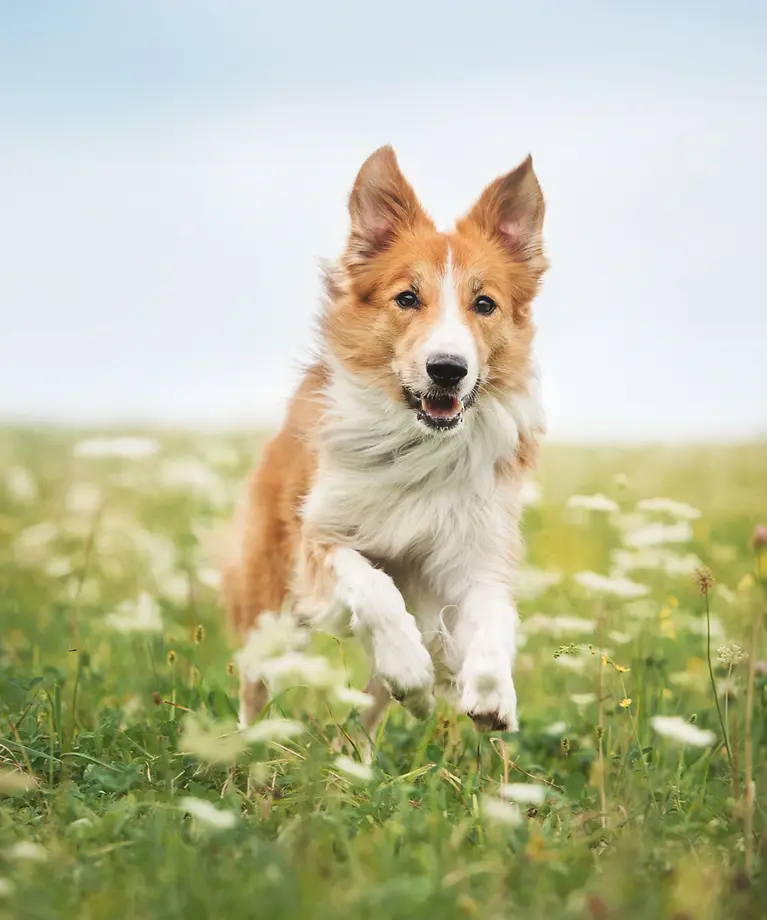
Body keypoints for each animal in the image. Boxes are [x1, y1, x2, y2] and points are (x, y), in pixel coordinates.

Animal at [222, 147, 544, 744]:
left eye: (484, 304)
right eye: (407, 298)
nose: (448, 369)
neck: (420, 446)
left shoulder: (475, 553)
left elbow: (495, 615)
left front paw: (492, 692)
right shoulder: (320, 538)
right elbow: (374, 587)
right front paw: (410, 665)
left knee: (370, 712)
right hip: (271, 605)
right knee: (256, 686)